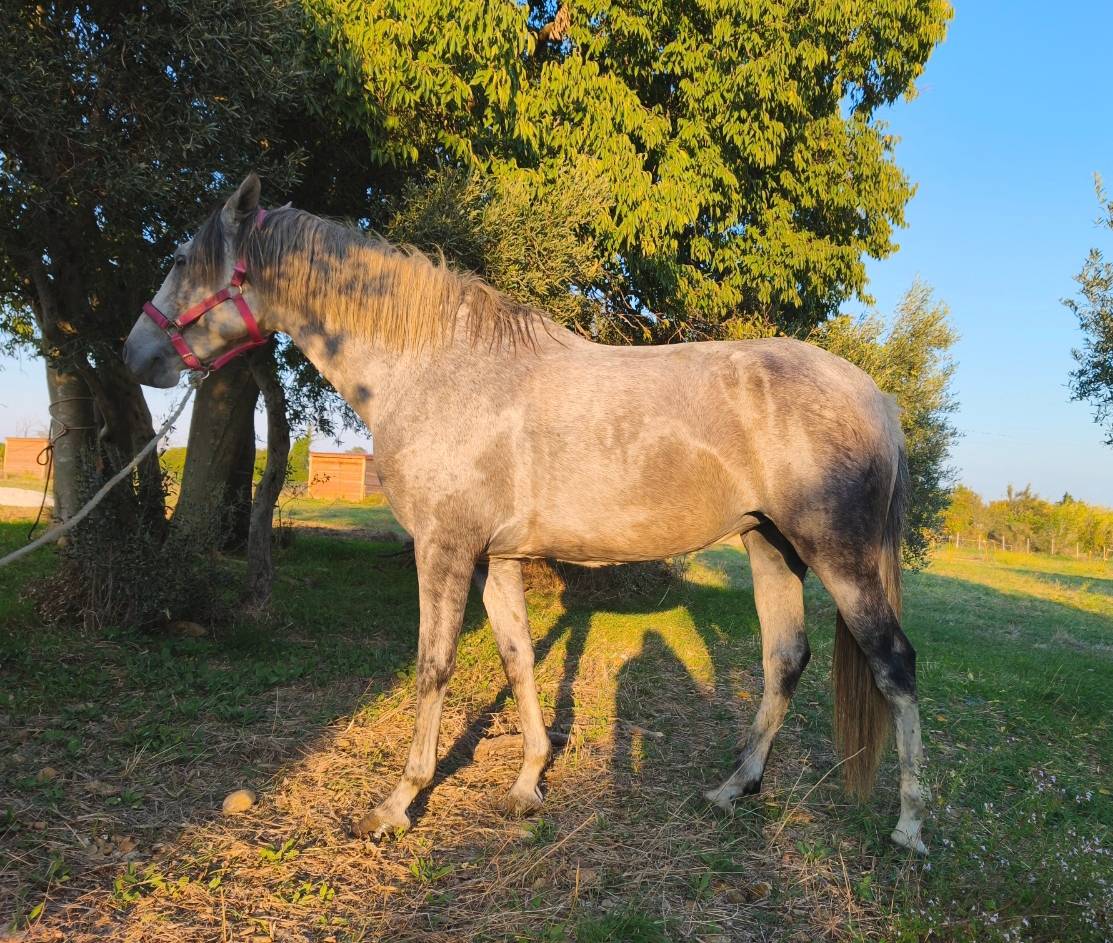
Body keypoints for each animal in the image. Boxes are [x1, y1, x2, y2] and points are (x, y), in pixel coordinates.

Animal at [124, 174, 930, 854]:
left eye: (181, 257)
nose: (136, 355)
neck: (432, 369)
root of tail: (875, 398)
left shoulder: (445, 550)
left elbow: (433, 665)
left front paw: (398, 803)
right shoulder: (497, 558)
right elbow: (517, 658)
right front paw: (527, 782)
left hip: (840, 557)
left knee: (894, 665)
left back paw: (909, 827)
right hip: (771, 547)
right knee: (783, 660)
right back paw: (733, 788)